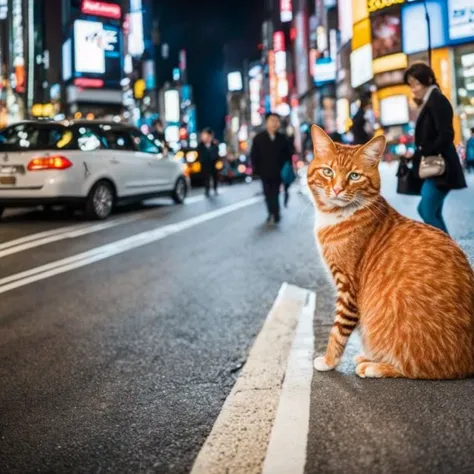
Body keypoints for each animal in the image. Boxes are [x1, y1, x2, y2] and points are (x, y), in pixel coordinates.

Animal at [310, 125, 474, 378]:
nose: (337, 189)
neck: (334, 215)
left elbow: (338, 331)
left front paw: (328, 361)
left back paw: (373, 365)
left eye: (354, 176)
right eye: (328, 172)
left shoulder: (347, 286)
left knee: (418, 368)